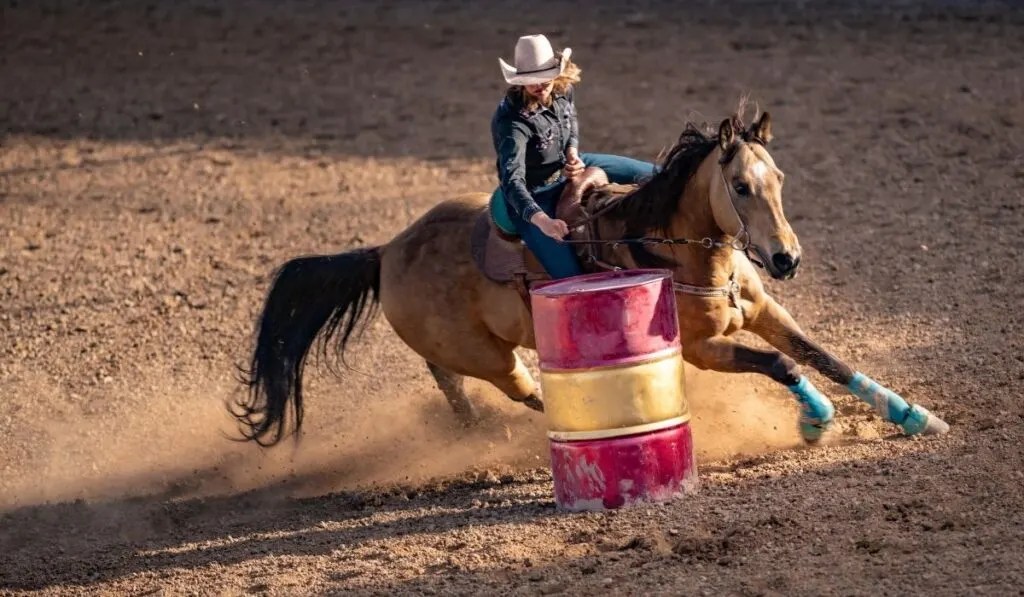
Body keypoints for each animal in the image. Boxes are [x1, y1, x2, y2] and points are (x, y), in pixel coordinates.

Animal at [233, 109, 949, 447]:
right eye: (740, 186)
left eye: (779, 178)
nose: (786, 259)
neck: (679, 250)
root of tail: (386, 251)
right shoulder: (703, 350)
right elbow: (783, 366)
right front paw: (816, 422)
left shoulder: (767, 310)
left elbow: (823, 356)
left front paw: (916, 417)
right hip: (490, 357)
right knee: (521, 388)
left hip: (469, 351)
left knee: (451, 382)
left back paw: (474, 429)